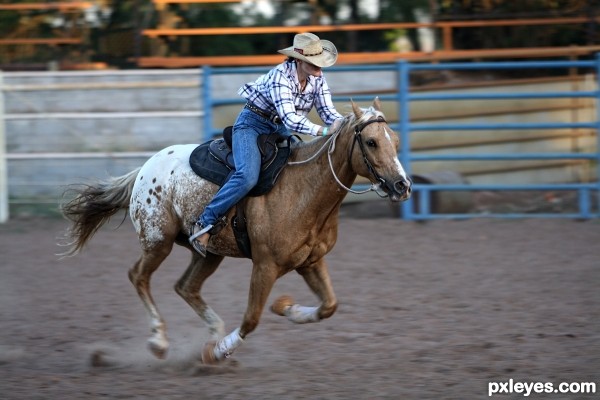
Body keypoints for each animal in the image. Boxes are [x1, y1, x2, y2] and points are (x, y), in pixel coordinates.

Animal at [61, 98, 410, 364]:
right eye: (371, 142)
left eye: (394, 140)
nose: (402, 185)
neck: (304, 189)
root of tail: (145, 168)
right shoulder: (265, 266)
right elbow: (251, 319)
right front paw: (216, 352)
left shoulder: (311, 262)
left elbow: (329, 306)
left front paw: (286, 308)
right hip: (158, 241)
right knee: (139, 277)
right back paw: (160, 342)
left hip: (208, 253)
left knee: (185, 287)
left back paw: (212, 332)